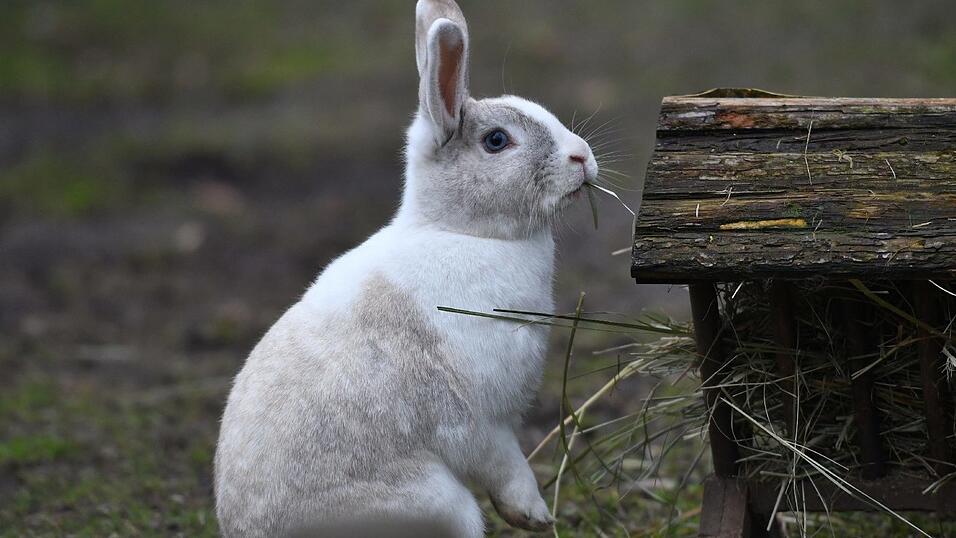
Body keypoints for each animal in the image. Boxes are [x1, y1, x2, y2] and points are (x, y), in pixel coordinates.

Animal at [214, 1, 598, 536]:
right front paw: (536, 516)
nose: (581, 156)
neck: (458, 232)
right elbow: (505, 466)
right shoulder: (479, 422)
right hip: (441, 503)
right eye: (497, 141)